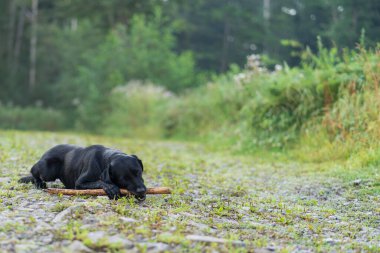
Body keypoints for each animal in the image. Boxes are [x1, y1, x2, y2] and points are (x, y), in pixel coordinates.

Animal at [18, 145, 147, 201]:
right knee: (34, 170)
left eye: (139, 172)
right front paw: (111, 188)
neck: (107, 158)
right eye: (123, 178)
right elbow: (99, 182)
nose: (142, 190)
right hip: (48, 171)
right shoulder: (80, 183)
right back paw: (38, 183)